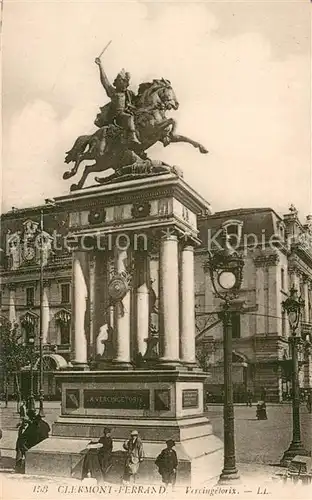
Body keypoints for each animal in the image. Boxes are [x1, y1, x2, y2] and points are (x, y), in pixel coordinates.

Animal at [63, 79, 208, 190]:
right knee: (81, 157)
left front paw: (202, 148)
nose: (176, 104)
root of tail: (94, 134)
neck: (150, 110)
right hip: (98, 153)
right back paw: (70, 174)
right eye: (169, 89)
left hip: (105, 161)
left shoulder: (163, 135)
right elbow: (173, 120)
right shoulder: (153, 129)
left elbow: (183, 137)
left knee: (88, 168)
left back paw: (78, 186)